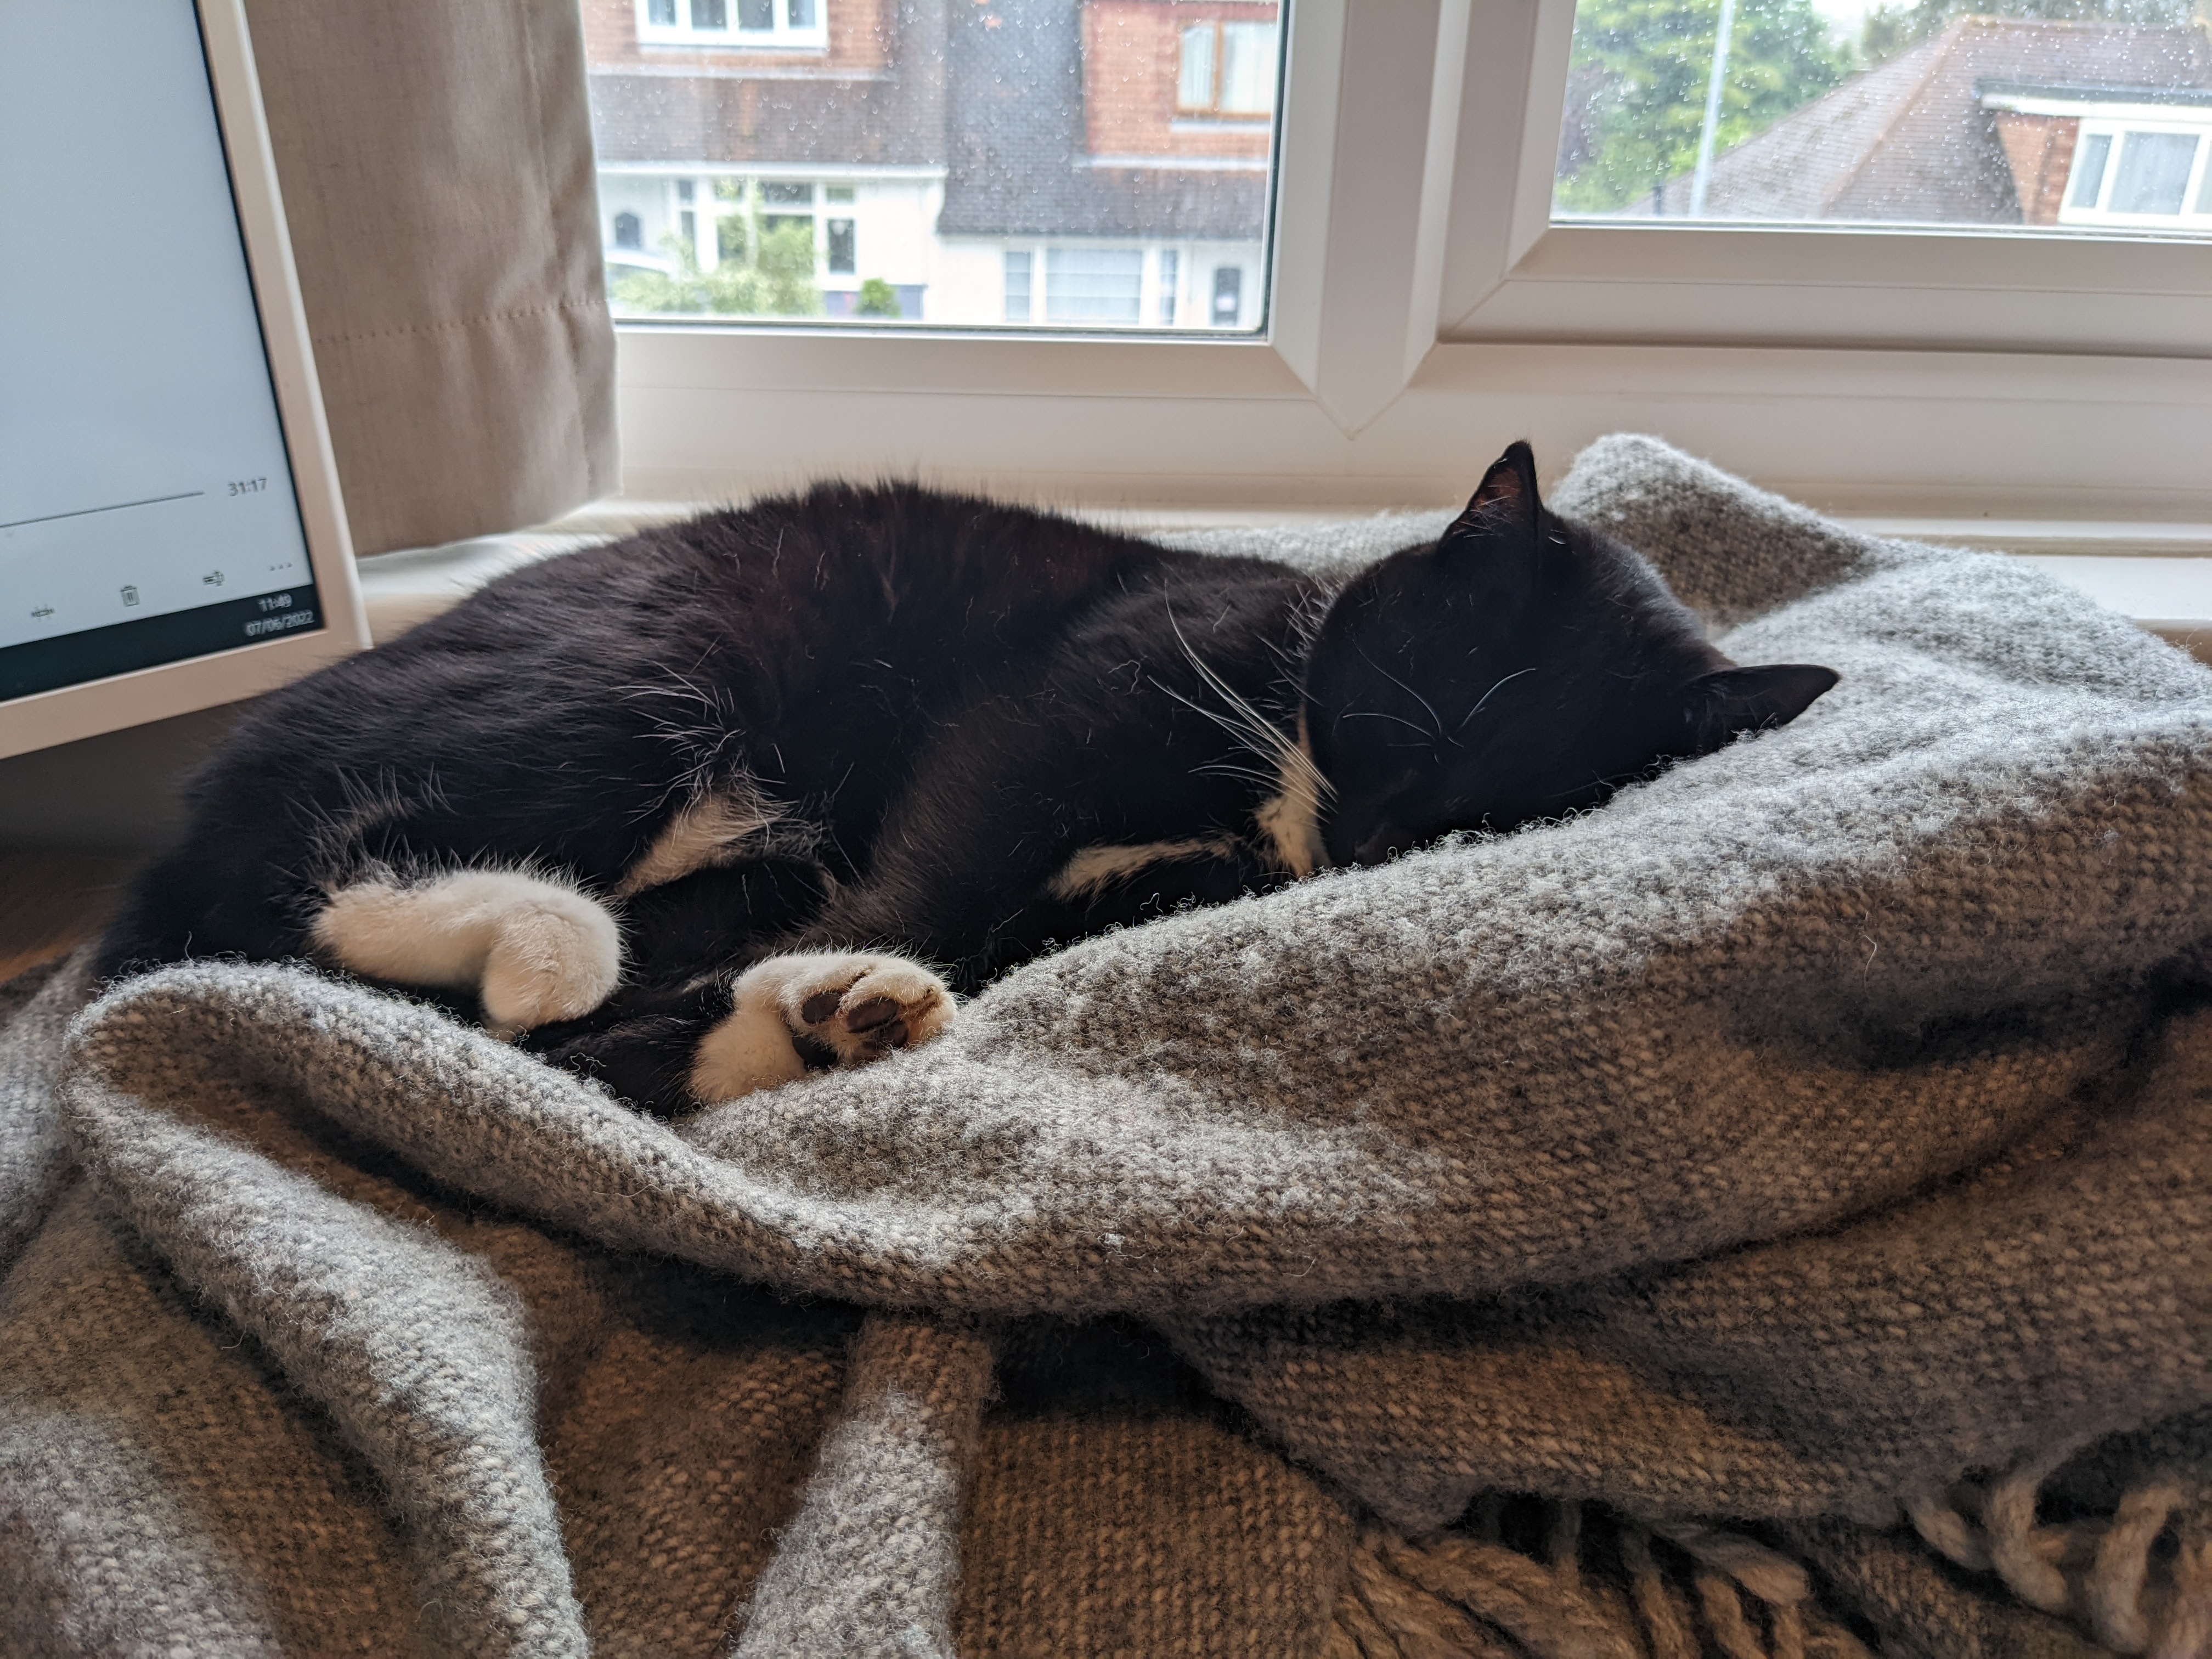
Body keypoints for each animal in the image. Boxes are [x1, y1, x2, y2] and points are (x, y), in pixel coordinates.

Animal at [99, 442, 1831, 1119]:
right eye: (1419, 714)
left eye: (1502, 816)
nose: (1382, 840)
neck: (1264, 803)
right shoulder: (1058, 706)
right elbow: (947, 857)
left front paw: (816, 1001)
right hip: (632, 678)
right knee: (338, 906)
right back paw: (563, 950)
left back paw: (812, 1022)